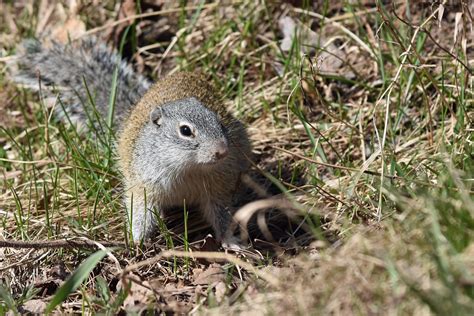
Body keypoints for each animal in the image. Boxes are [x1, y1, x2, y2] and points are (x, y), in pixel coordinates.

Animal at [12, 37, 252, 247]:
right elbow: (140, 210)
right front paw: (137, 240)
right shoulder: (144, 185)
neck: (189, 168)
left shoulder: (218, 185)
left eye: (220, 122)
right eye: (185, 131)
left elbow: (221, 214)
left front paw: (231, 241)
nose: (222, 151)